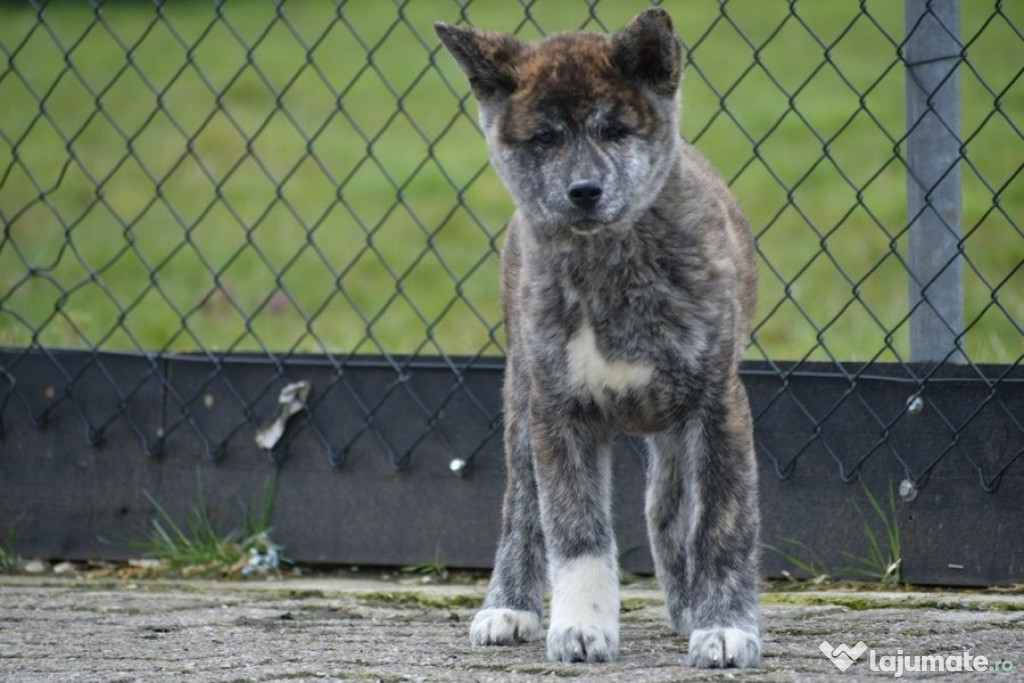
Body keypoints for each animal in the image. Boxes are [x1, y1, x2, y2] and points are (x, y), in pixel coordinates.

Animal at [434, 6, 761, 667]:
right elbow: (575, 531)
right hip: (521, 400)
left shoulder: (717, 404)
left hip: (673, 430)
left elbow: (719, 525)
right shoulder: (561, 410)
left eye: (614, 131)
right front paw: (581, 626)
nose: (584, 191)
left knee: (666, 508)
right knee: (521, 511)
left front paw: (723, 628)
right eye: (545, 139)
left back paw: (687, 607)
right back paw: (508, 607)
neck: (609, 269)